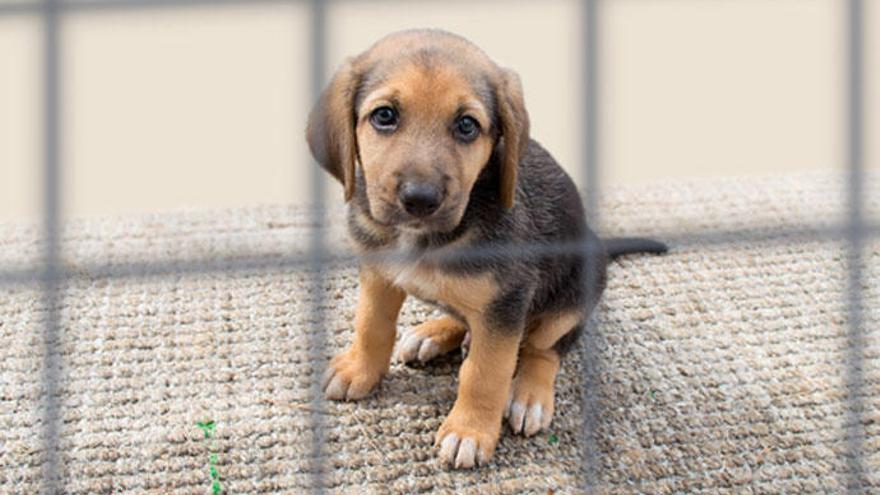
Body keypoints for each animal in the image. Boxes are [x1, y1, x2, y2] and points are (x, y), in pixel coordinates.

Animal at [310, 29, 668, 470]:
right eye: (384, 116)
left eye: (467, 125)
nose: (420, 199)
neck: (425, 238)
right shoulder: (378, 273)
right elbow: (371, 325)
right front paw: (359, 369)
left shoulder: (507, 301)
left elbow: (486, 372)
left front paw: (469, 431)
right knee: (466, 318)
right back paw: (434, 333)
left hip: (572, 294)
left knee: (544, 348)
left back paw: (529, 395)